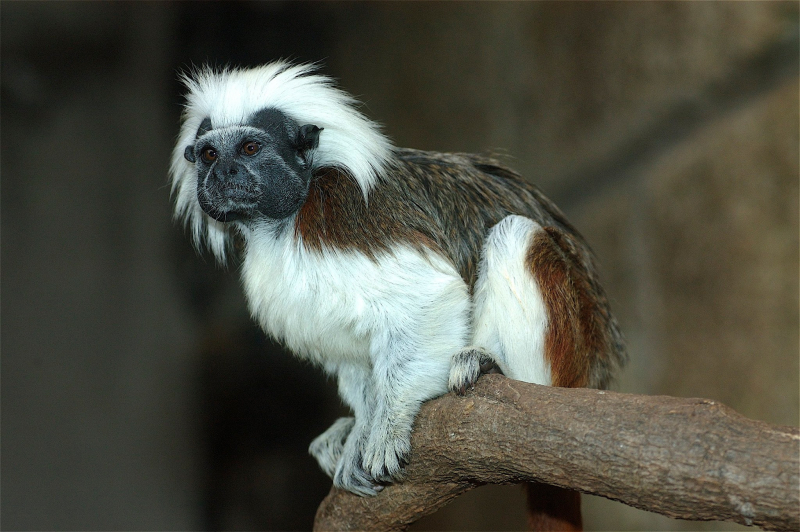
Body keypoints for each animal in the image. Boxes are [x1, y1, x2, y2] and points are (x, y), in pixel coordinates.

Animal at [170, 63, 626, 511]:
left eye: (250, 148)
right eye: (210, 154)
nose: (224, 172)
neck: (286, 218)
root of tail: (599, 366)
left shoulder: (343, 218)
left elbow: (427, 297)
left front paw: (389, 426)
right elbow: (352, 355)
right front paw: (361, 429)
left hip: (574, 347)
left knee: (514, 233)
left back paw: (495, 366)